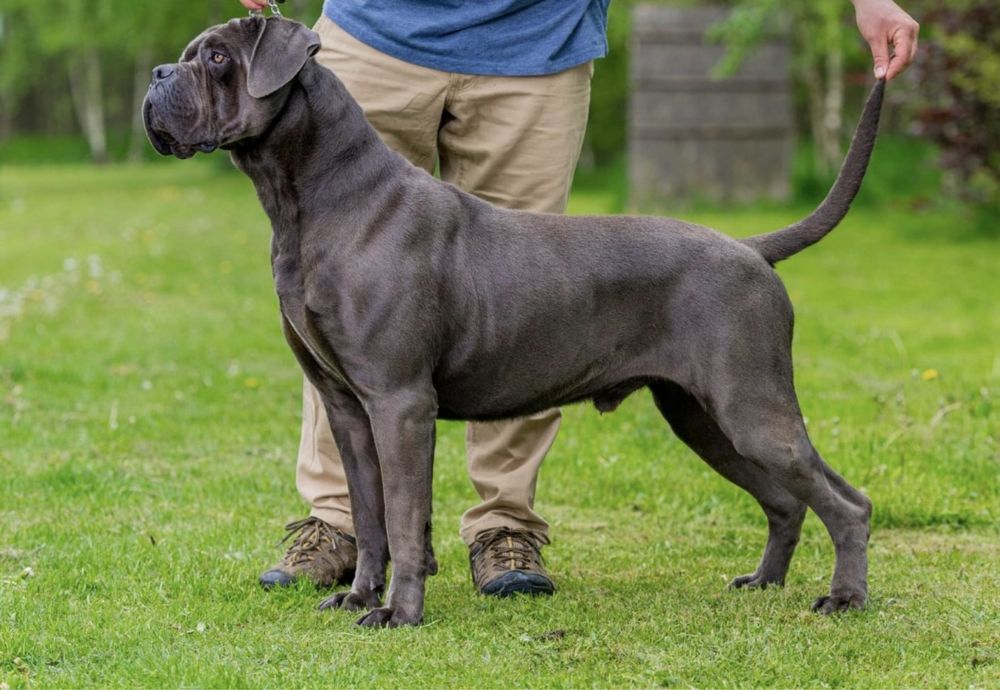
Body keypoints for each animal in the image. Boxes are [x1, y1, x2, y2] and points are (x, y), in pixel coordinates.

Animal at [146, 18, 884, 628]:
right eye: (190, 54)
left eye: (217, 58)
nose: (157, 75)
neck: (315, 200)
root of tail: (752, 247)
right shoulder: (347, 407)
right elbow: (370, 515)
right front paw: (357, 597)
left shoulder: (399, 403)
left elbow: (406, 519)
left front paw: (399, 615)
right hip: (703, 417)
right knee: (792, 500)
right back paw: (763, 583)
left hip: (748, 405)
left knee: (845, 504)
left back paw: (844, 599)